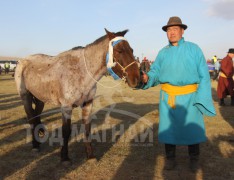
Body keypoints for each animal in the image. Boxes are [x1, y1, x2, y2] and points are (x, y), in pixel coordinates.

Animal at [15, 28, 141, 162]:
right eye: (119, 50)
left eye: (132, 50)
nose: (136, 79)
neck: (81, 72)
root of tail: (22, 61)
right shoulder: (66, 106)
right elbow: (66, 131)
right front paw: (64, 157)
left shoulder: (88, 104)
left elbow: (87, 129)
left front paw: (90, 155)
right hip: (26, 97)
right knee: (31, 119)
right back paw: (35, 146)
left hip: (40, 99)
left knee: (36, 117)